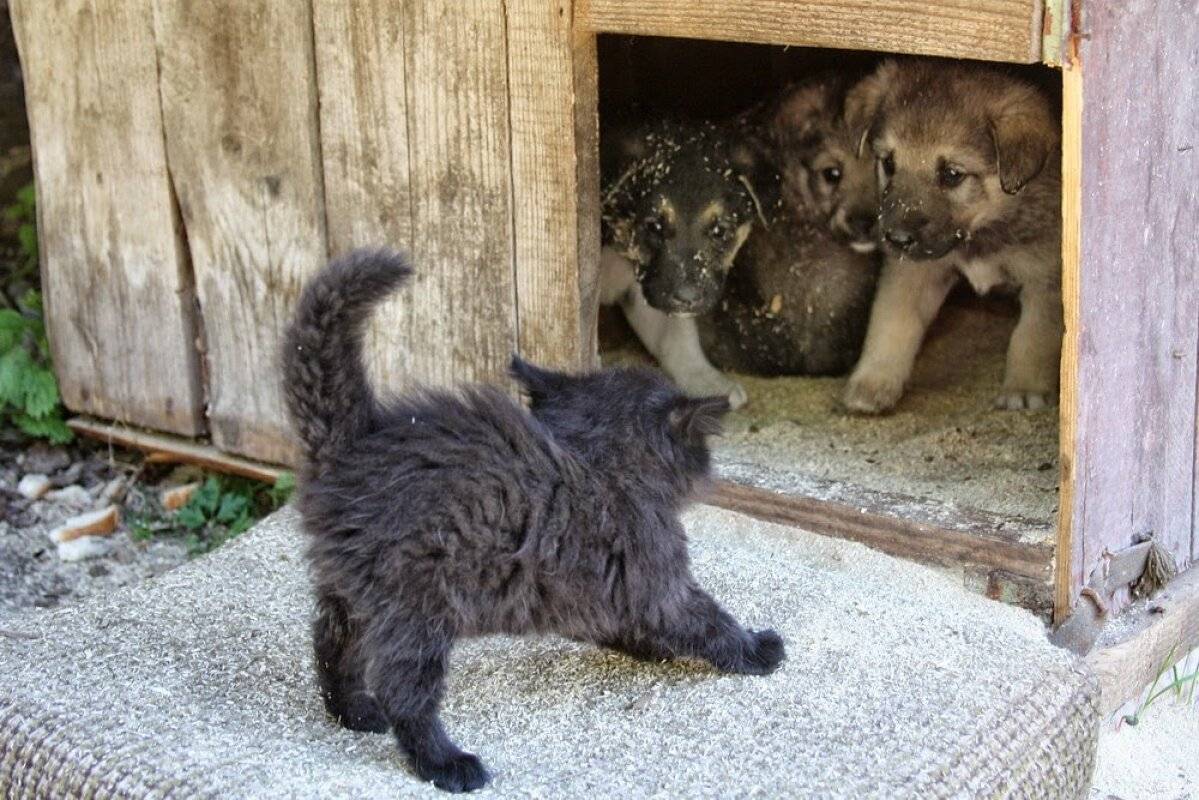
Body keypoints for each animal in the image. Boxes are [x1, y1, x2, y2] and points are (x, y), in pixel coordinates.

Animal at [280, 250, 786, 796]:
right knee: (403, 690)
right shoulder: (658, 578)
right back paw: (445, 763)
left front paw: (651, 648)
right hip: (417, 604)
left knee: (330, 644)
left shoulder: (592, 590)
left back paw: (351, 711)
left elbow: (619, 620)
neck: (598, 460)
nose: (710, 464)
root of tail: (352, 445)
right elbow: (707, 621)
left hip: (353, 591)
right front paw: (756, 649)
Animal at [839, 57, 1064, 412]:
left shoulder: (1044, 280)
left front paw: (1024, 388)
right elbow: (892, 321)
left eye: (952, 174)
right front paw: (873, 382)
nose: (896, 239)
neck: (981, 232)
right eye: (888, 163)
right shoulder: (914, 272)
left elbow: (1032, 337)